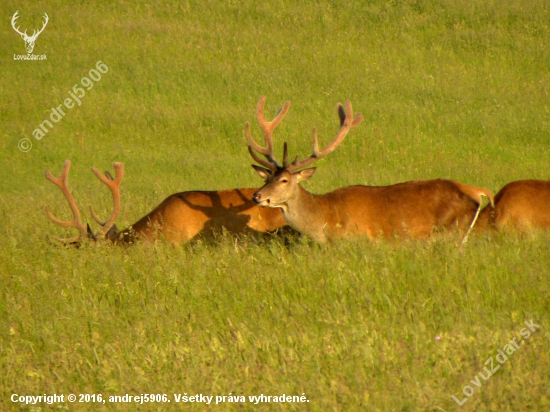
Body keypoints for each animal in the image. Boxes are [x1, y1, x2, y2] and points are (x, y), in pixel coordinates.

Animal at [247, 96, 496, 245]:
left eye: (284, 180)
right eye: (267, 177)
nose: (257, 196)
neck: (325, 219)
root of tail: (477, 191)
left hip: (452, 231)